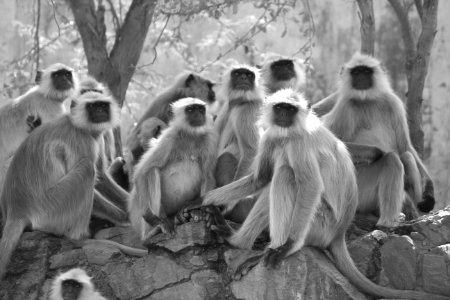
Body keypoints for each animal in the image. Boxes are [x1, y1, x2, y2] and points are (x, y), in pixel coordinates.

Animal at [0, 91, 145, 278]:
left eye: (102, 105)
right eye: (92, 106)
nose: (99, 111)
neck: (76, 124)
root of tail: (16, 210)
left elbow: (101, 176)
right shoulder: (80, 140)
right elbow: (94, 177)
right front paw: (125, 218)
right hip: (51, 207)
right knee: (86, 168)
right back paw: (79, 239)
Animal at [128, 97, 218, 240]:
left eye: (200, 109)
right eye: (190, 110)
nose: (198, 115)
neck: (190, 135)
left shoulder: (209, 140)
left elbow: (207, 175)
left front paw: (203, 210)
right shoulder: (169, 138)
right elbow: (141, 171)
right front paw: (152, 219)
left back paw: (184, 215)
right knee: (152, 171)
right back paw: (154, 230)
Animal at [202, 88, 448, 300]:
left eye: (290, 109)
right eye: (280, 107)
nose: (283, 115)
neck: (291, 131)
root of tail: (339, 234)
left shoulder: (299, 143)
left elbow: (309, 185)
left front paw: (288, 246)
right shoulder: (271, 136)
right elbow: (260, 178)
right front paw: (204, 201)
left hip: (321, 222)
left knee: (286, 176)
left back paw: (271, 249)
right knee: (277, 177)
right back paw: (238, 241)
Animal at [324, 53, 436, 227]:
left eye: (366, 71)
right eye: (356, 72)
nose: (361, 78)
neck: (367, 100)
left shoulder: (393, 102)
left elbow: (405, 146)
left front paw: (429, 190)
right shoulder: (345, 107)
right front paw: (379, 151)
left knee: (406, 156)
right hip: (358, 191)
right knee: (392, 160)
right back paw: (387, 223)